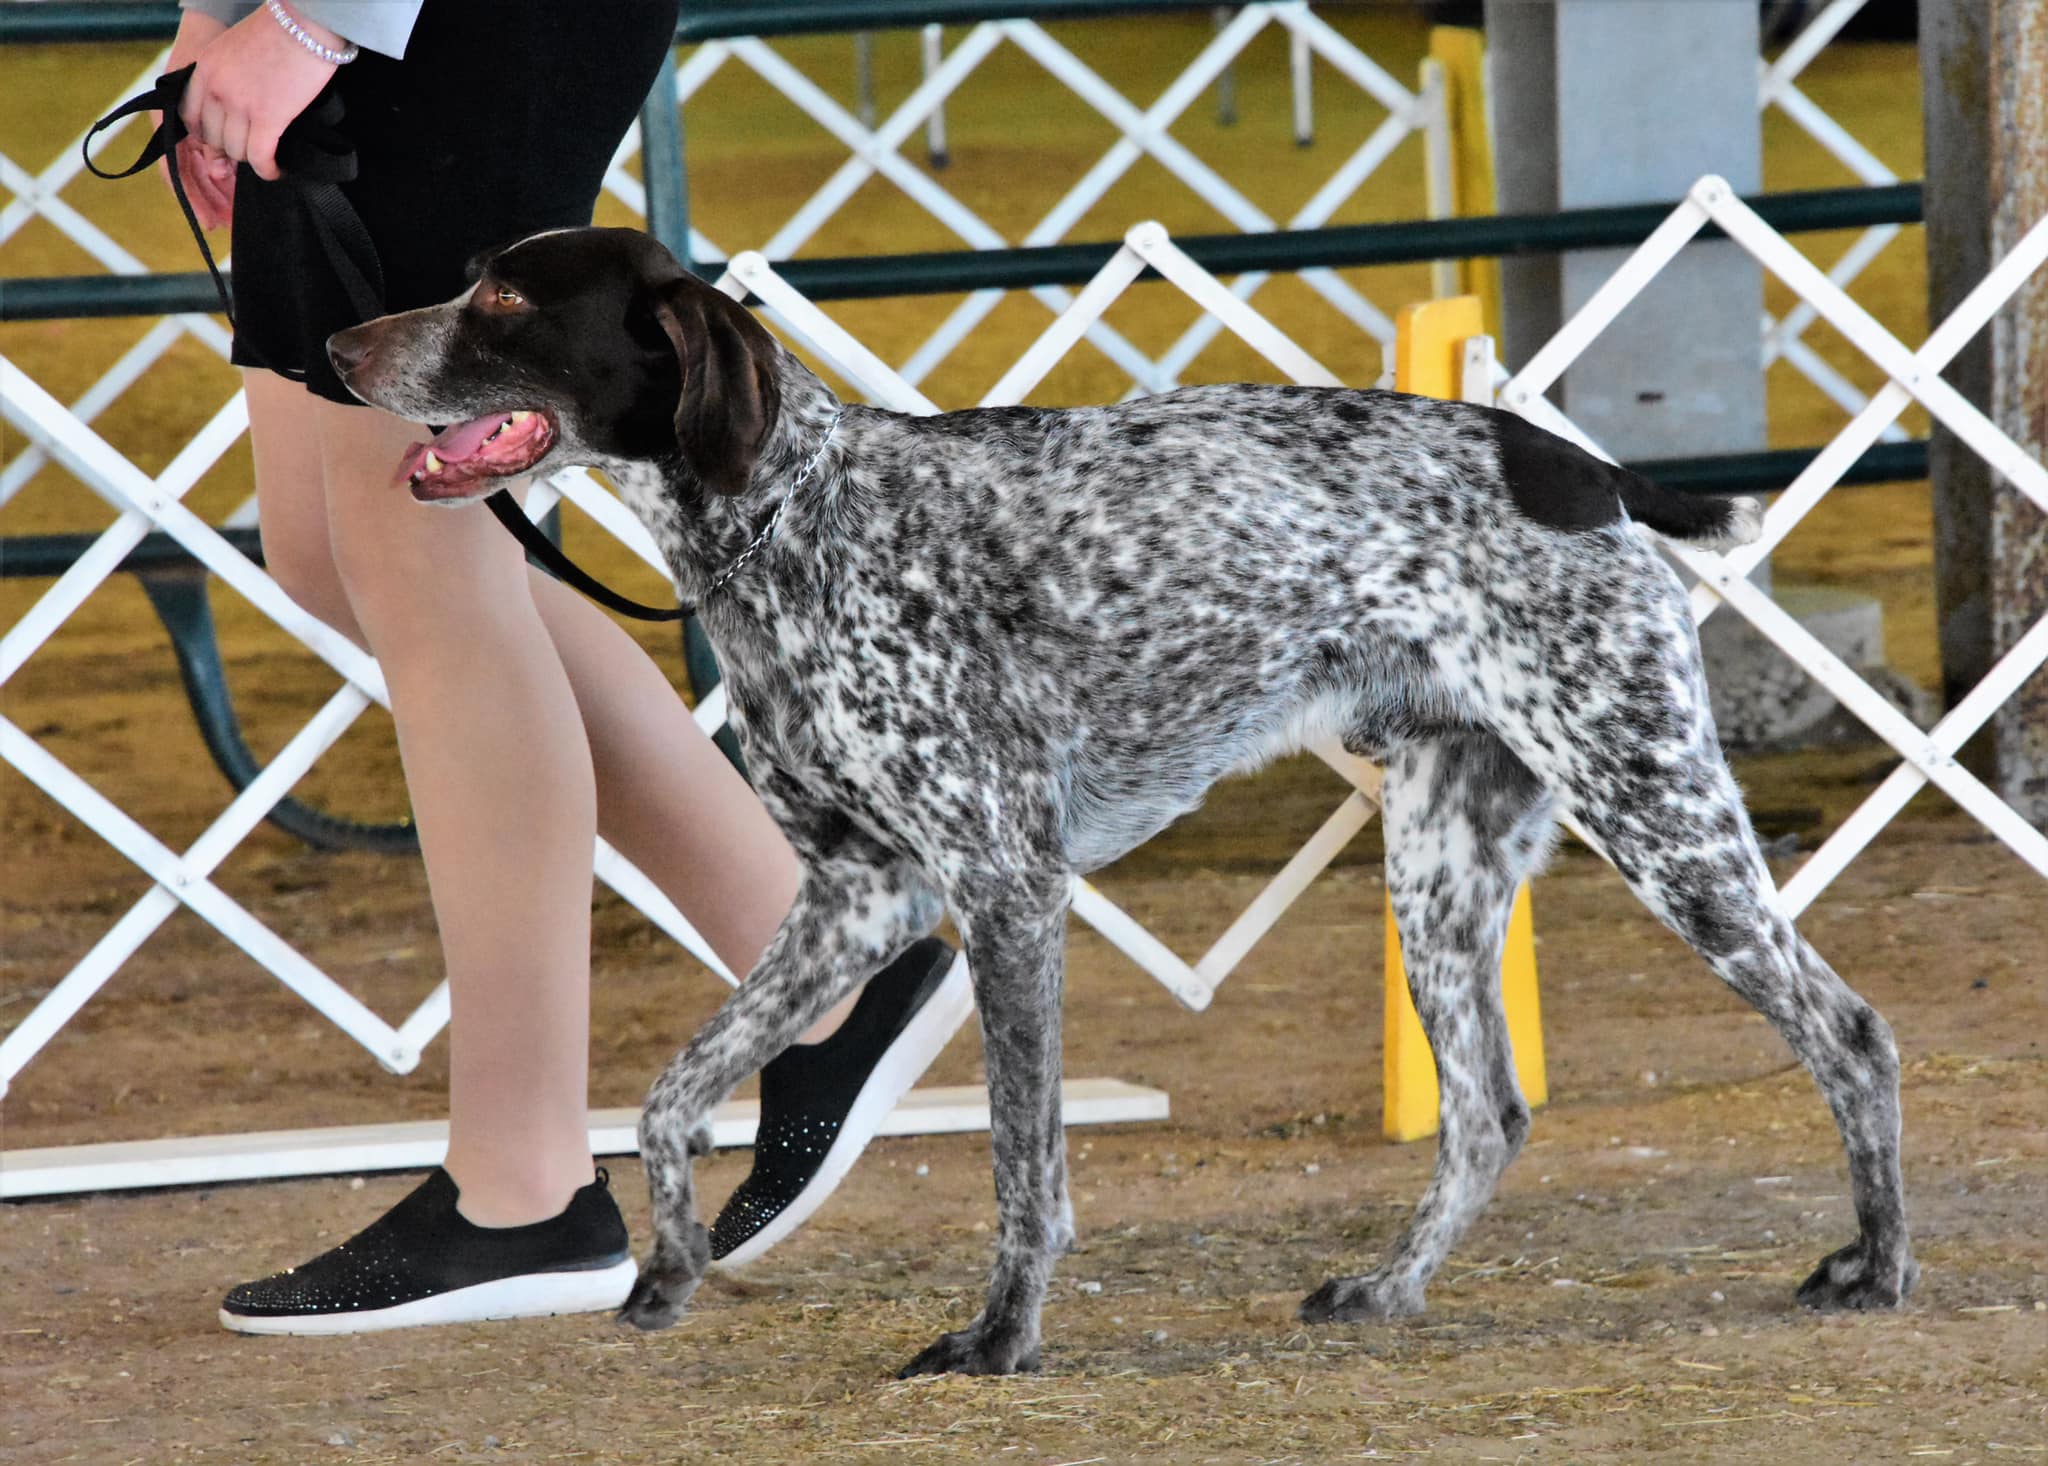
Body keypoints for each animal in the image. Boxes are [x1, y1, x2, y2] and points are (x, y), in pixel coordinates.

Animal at [327, 226, 1908, 1375]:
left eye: (504, 294)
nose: (333, 344)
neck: (795, 518)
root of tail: (1580, 465)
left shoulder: (1004, 890)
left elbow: (1023, 1165)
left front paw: (998, 1336)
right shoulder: (859, 895)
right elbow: (669, 1094)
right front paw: (666, 1263)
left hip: (1656, 814)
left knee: (1846, 1028)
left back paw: (1876, 1263)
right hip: (1440, 866)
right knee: (1486, 1113)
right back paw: (1388, 1288)